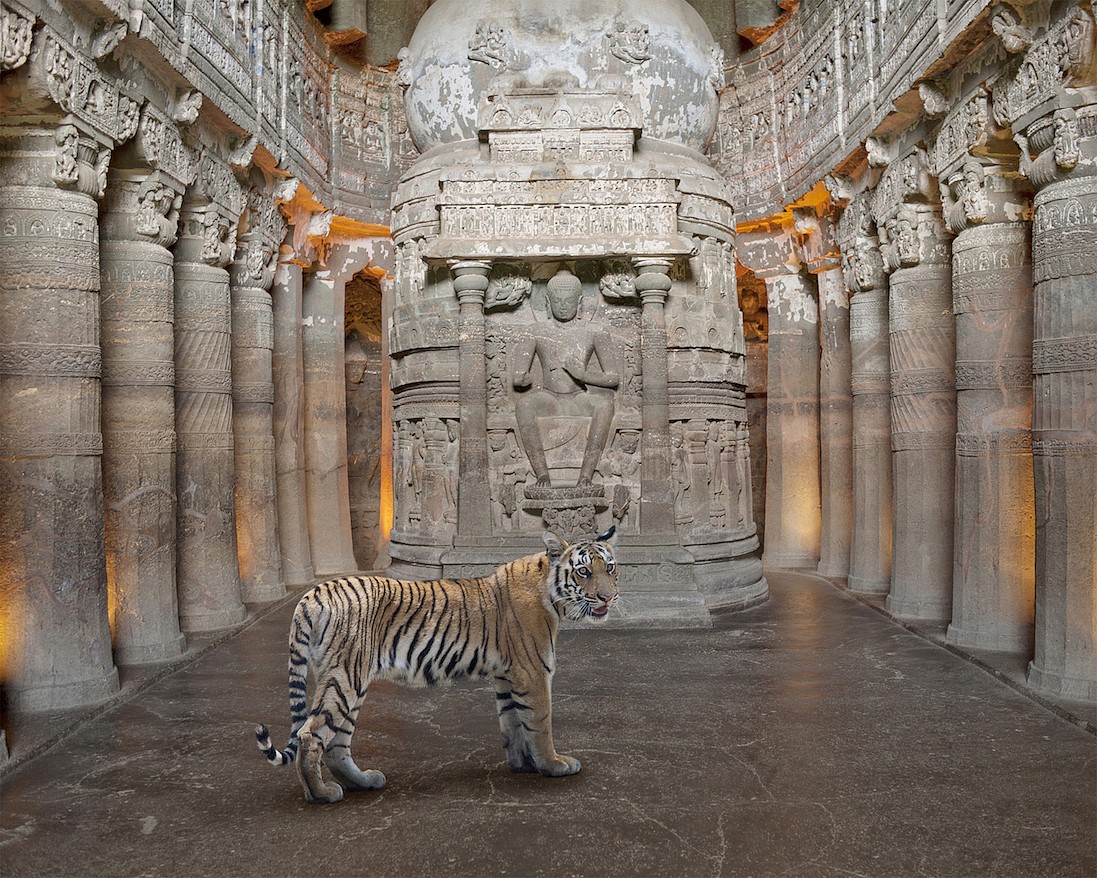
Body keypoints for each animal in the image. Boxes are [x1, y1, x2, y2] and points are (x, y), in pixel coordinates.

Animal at [252, 522, 623, 803]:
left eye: (610, 568)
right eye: (584, 571)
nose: (609, 597)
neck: (552, 594)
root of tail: (313, 593)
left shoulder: (507, 676)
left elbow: (514, 722)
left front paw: (523, 764)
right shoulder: (532, 671)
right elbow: (540, 721)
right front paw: (553, 764)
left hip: (347, 681)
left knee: (336, 744)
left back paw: (364, 781)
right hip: (345, 677)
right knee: (310, 734)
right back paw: (321, 794)